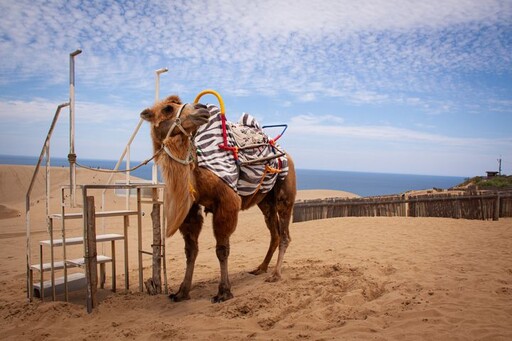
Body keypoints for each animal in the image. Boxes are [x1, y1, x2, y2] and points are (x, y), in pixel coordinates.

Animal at [140, 94, 298, 302]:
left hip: (285, 191)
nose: (201, 108)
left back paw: (275, 274)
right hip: (265, 201)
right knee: (275, 232)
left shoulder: (227, 202)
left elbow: (222, 249)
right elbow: (190, 250)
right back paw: (261, 268)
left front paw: (223, 292)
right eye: (167, 108)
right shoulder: (191, 209)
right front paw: (182, 291)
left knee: (285, 233)